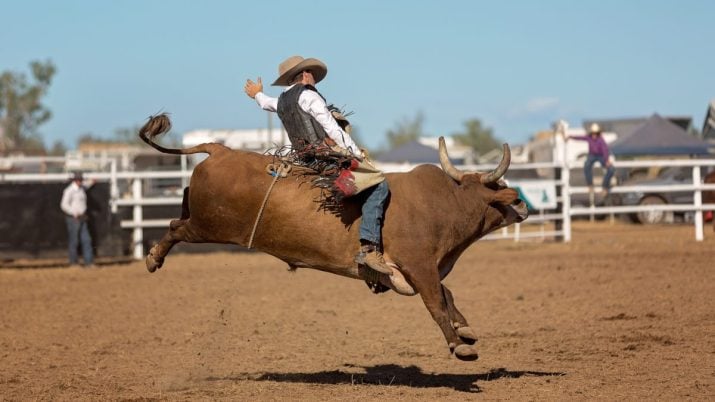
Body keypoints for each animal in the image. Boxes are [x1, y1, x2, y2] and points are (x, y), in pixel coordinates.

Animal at [140, 114, 528, 362]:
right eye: (502, 187)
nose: (524, 204)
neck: (444, 204)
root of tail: (220, 150)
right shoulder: (419, 267)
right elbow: (436, 303)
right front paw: (459, 345)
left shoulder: (422, 271)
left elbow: (447, 296)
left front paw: (465, 330)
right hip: (208, 225)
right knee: (175, 227)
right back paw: (153, 257)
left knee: (178, 216)